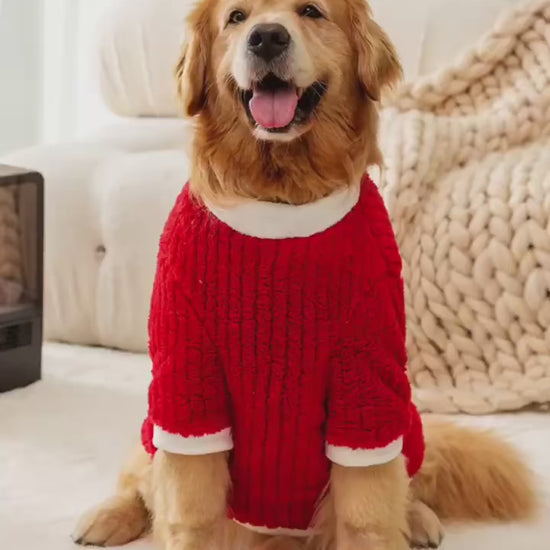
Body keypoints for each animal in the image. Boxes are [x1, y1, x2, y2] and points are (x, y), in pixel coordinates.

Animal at [73, 0, 540, 548]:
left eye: (312, 11)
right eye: (235, 17)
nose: (267, 38)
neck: (280, 197)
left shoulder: (365, 383)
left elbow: (368, 513)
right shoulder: (187, 380)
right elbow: (190, 512)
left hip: (405, 419)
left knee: (409, 481)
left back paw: (419, 520)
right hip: (153, 424)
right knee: (138, 481)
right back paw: (107, 517)